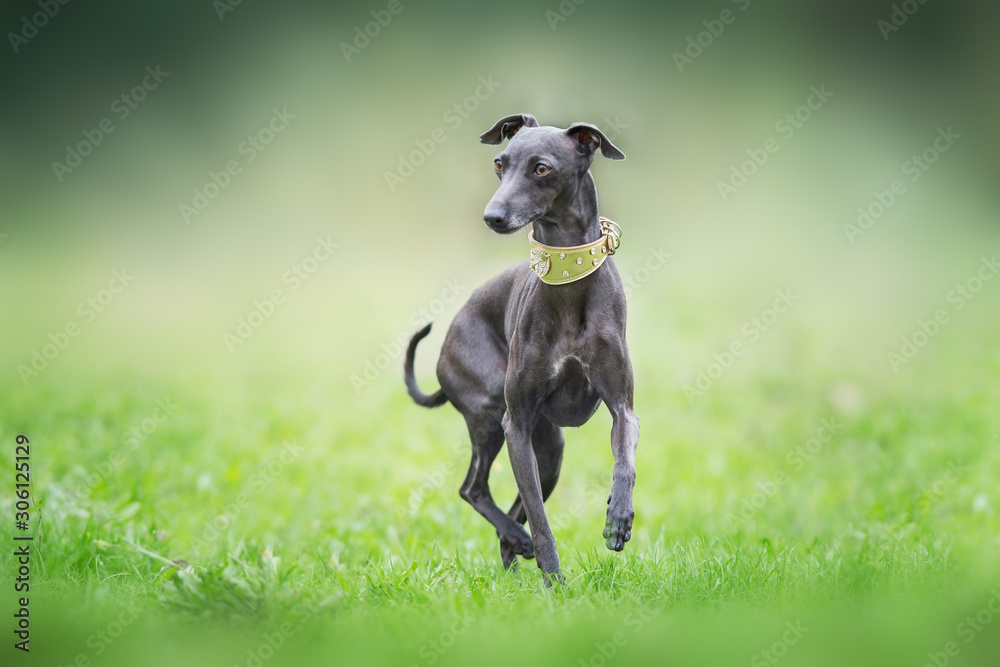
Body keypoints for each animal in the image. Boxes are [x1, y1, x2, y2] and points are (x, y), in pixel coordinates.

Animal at [402, 115, 636, 584]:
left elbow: (625, 458)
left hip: (548, 449)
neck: (567, 282)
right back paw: (520, 545)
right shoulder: (517, 424)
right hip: (492, 415)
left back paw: (514, 551)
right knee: (474, 488)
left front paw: (618, 517)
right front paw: (556, 584)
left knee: (509, 511)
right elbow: (541, 519)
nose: (491, 216)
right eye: (499, 163)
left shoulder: (622, 407)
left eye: (542, 168)